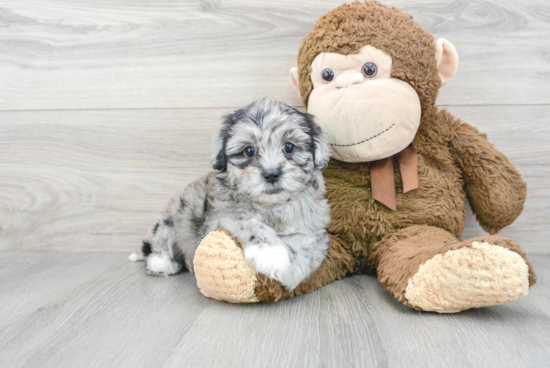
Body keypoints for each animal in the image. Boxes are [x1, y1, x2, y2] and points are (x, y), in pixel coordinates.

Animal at [132, 98, 332, 294]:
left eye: (289, 147)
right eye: (249, 151)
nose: (271, 174)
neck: (270, 205)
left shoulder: (313, 226)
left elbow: (306, 246)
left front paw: (292, 271)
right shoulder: (224, 216)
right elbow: (252, 226)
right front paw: (271, 254)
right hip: (172, 222)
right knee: (158, 246)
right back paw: (162, 263)